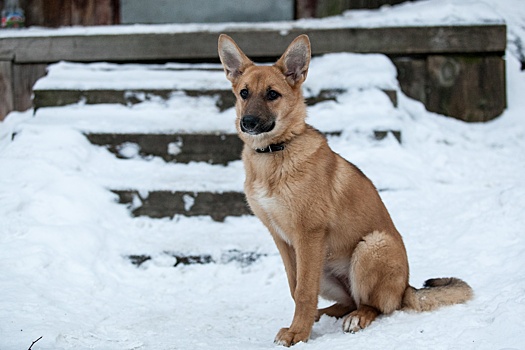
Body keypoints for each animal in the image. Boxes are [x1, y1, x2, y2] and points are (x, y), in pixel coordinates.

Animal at [217, 34, 470, 346]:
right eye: (244, 93)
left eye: (272, 94)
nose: (248, 123)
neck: (276, 152)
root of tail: (405, 288)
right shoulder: (282, 239)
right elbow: (295, 286)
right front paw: (303, 325)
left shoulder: (309, 234)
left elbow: (303, 291)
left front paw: (298, 334)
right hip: (327, 270)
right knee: (348, 300)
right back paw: (325, 314)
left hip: (370, 247)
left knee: (375, 305)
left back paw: (356, 318)